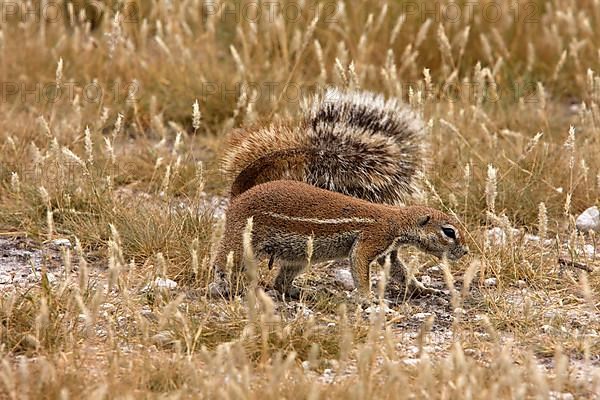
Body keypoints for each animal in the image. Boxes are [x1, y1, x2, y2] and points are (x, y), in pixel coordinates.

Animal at [213, 87, 472, 300]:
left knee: (280, 283)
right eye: (449, 232)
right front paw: (368, 298)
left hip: (298, 258)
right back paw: (221, 286)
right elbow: (359, 263)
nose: (466, 251)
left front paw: (423, 289)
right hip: (241, 240)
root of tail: (239, 195)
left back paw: (302, 293)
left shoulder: (388, 251)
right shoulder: (374, 237)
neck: (398, 219)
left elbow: (400, 271)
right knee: (223, 262)